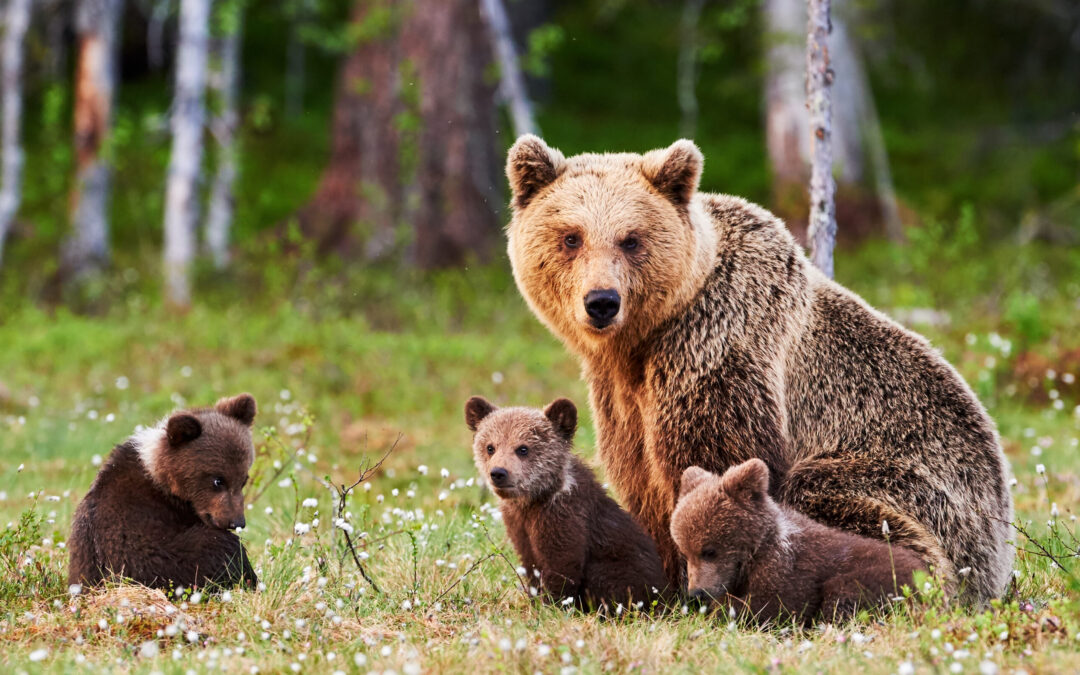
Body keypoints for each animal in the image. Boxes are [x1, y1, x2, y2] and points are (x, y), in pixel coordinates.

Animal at [465, 395, 669, 610]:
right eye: (490, 447)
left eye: (523, 448)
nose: (498, 473)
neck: (534, 500)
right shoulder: (519, 526)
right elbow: (530, 566)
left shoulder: (563, 519)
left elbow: (562, 567)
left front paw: (552, 605)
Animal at [503, 134, 1013, 603]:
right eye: (571, 237)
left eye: (631, 239)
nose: (602, 302)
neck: (646, 339)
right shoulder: (621, 394)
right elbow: (640, 478)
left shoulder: (718, 347)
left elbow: (716, 464)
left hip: (920, 488)